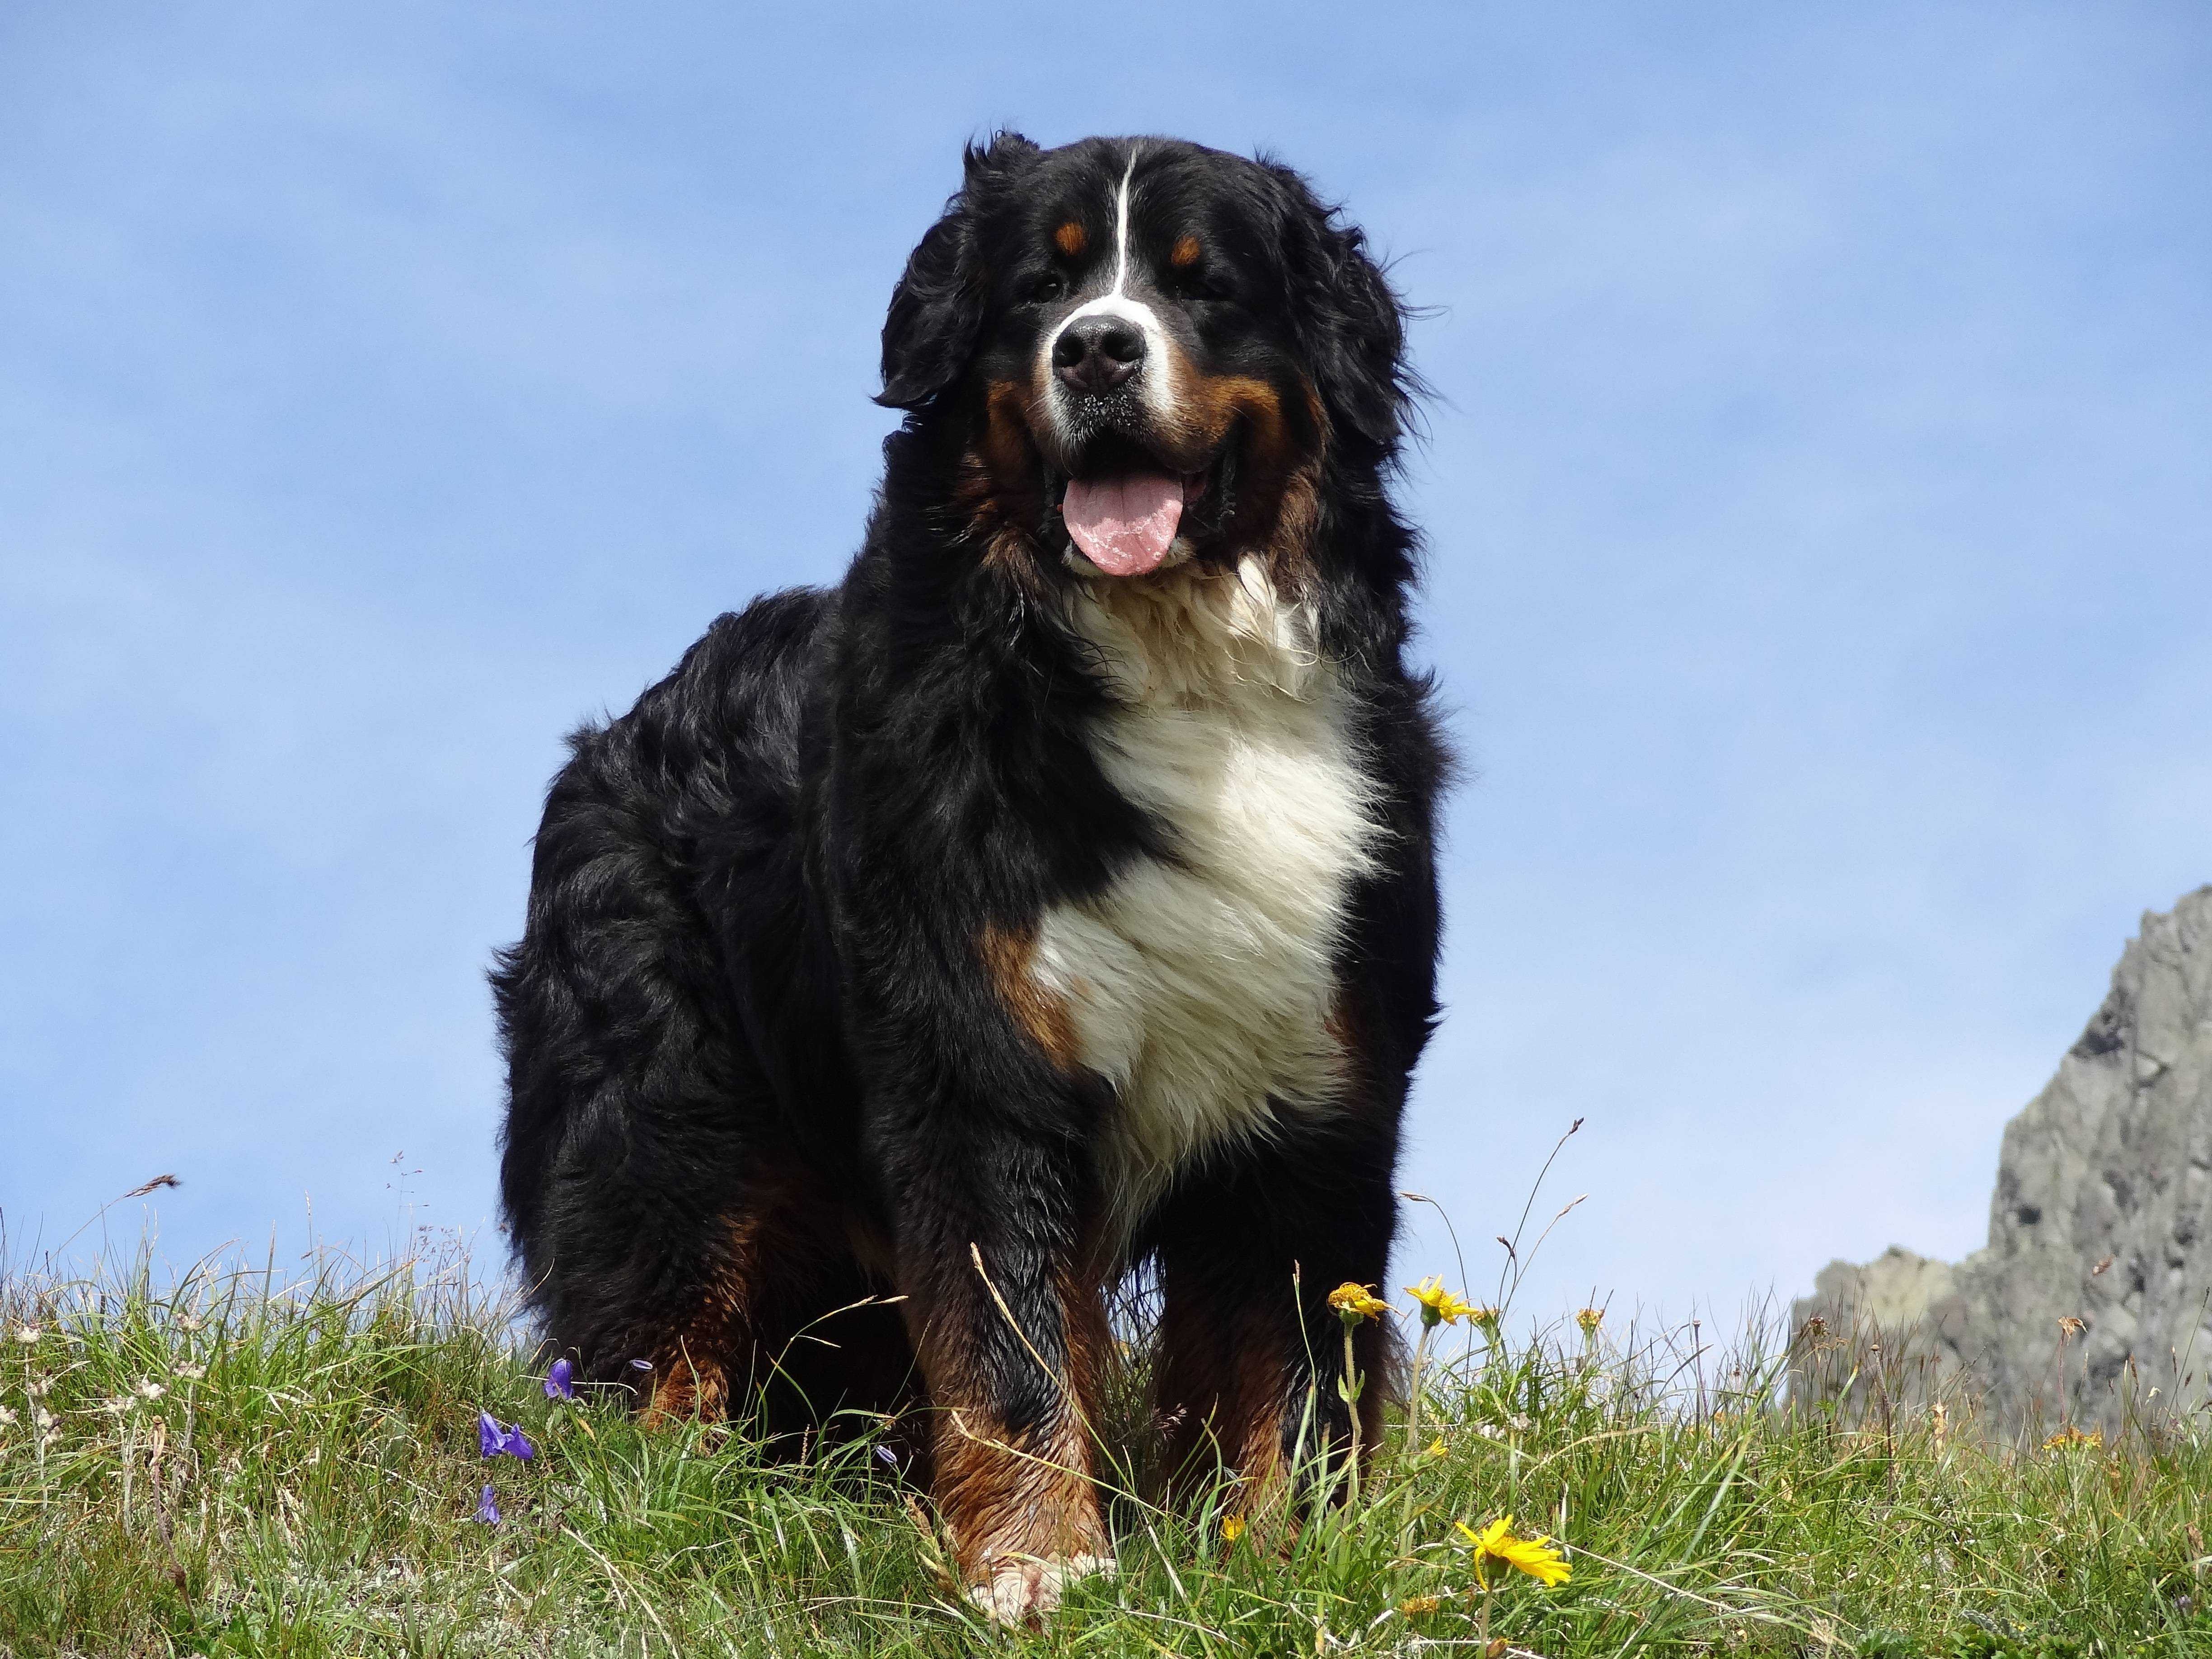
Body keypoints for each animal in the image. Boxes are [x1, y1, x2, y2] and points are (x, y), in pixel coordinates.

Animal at [491, 133, 1442, 1628]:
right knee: (653, 1334)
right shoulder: (978, 1064)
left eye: (1206, 284)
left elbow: (1293, 1377)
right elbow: (1011, 1350)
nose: (1097, 349)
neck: (1178, 674)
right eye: (1039, 287)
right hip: (663, 1126)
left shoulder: (1322, 1097)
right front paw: (1039, 1565)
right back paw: (660, 1505)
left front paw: (1288, 1565)